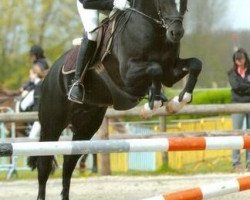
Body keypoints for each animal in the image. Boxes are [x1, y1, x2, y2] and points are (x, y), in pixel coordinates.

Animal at [28, 0, 201, 199]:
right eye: (163, 2)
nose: (176, 33)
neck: (153, 30)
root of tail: (48, 75)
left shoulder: (170, 73)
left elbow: (195, 64)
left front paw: (177, 102)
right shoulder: (128, 74)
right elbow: (154, 69)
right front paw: (153, 103)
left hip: (87, 126)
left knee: (69, 162)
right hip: (52, 124)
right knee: (44, 164)